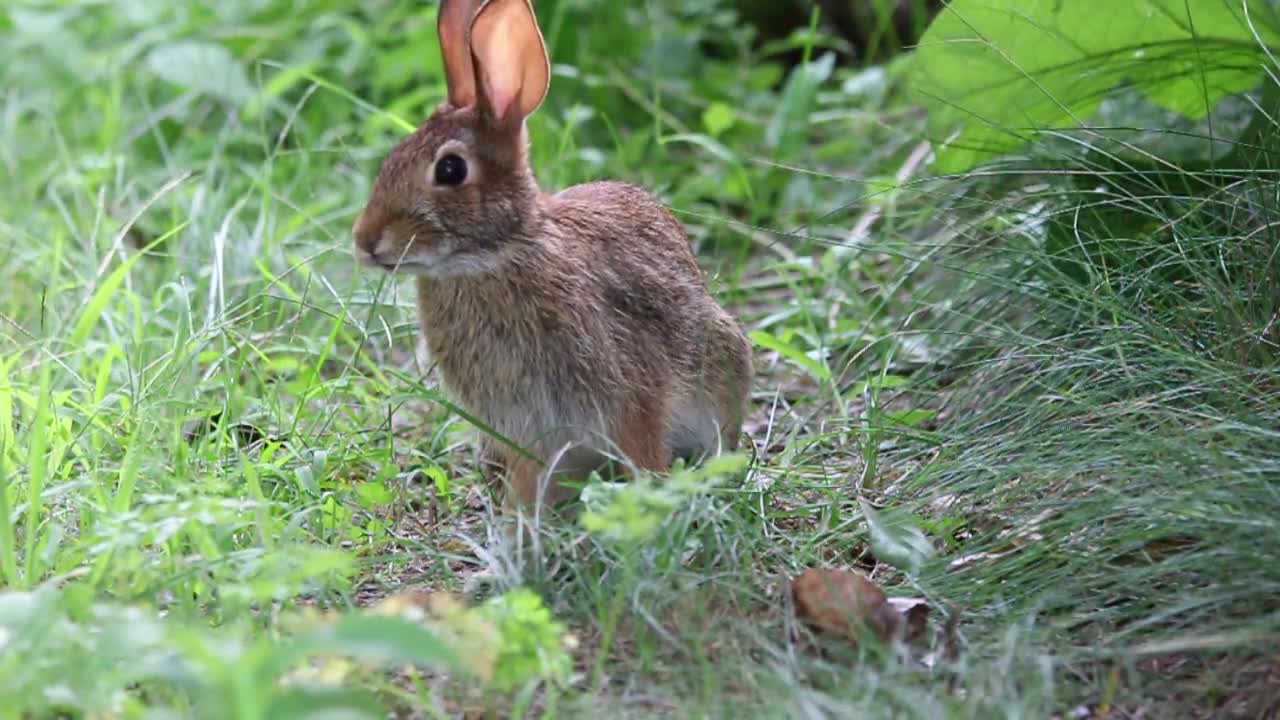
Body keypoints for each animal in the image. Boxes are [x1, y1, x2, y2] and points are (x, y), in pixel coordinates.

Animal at [350, 0, 747, 507]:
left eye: (451, 169)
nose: (365, 241)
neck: (497, 253)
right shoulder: (524, 432)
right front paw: (519, 519)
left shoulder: (630, 392)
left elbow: (643, 447)